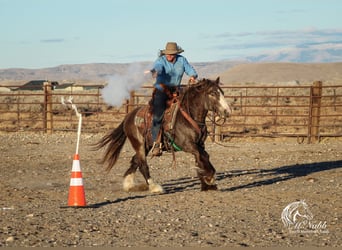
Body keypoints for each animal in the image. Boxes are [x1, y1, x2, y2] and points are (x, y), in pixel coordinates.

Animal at [95, 77, 231, 192]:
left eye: (222, 92)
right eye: (212, 93)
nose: (227, 112)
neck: (188, 116)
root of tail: (129, 116)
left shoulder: (200, 144)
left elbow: (203, 157)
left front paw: (207, 183)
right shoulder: (188, 145)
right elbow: (202, 156)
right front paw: (209, 178)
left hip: (147, 145)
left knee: (135, 160)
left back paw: (128, 185)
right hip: (139, 144)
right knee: (142, 164)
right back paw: (154, 187)